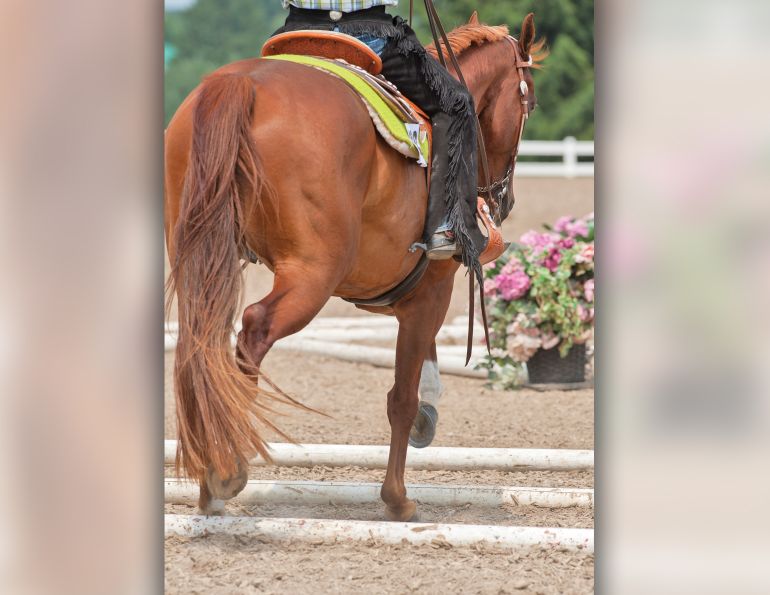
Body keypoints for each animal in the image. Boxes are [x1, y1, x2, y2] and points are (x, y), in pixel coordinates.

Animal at [165, 12, 545, 522]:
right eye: (529, 102)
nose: (504, 200)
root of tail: (242, 84)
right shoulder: (432, 290)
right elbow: (401, 396)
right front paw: (398, 498)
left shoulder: (406, 292)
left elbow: (422, 369)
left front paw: (426, 420)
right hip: (311, 275)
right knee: (254, 328)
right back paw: (227, 471)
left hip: (199, 259)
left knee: (200, 342)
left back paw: (209, 480)